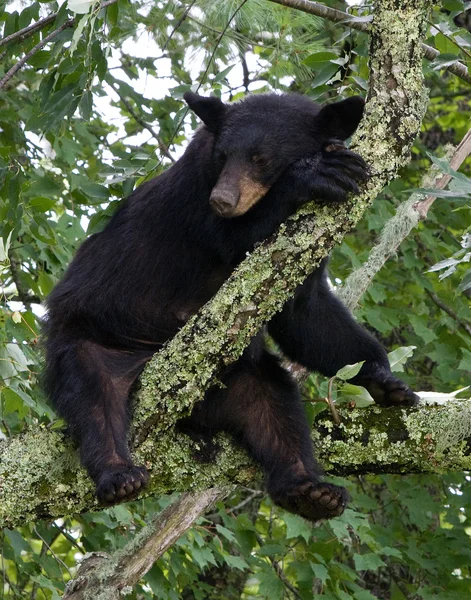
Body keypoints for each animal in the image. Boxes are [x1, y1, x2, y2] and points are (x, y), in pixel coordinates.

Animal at [46, 92, 418, 520]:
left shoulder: (314, 240)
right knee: (93, 396)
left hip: (240, 377)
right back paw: (119, 474)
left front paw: (384, 380)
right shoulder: (195, 194)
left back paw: (310, 490)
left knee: (275, 405)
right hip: (92, 337)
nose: (223, 199)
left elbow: (307, 317)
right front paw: (316, 173)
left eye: (261, 158)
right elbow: (236, 240)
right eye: (224, 156)